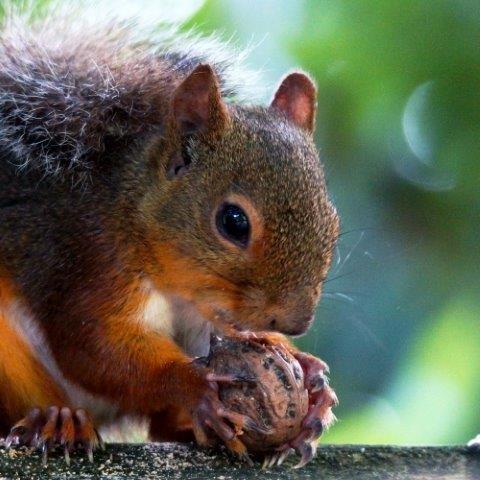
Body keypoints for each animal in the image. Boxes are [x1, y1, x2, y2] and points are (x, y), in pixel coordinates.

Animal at [0, 3, 338, 466]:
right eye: (234, 222)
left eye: (332, 219)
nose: (296, 322)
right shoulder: (87, 264)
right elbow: (94, 349)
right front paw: (192, 385)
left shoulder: (204, 318)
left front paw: (306, 370)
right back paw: (56, 419)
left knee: (160, 428)